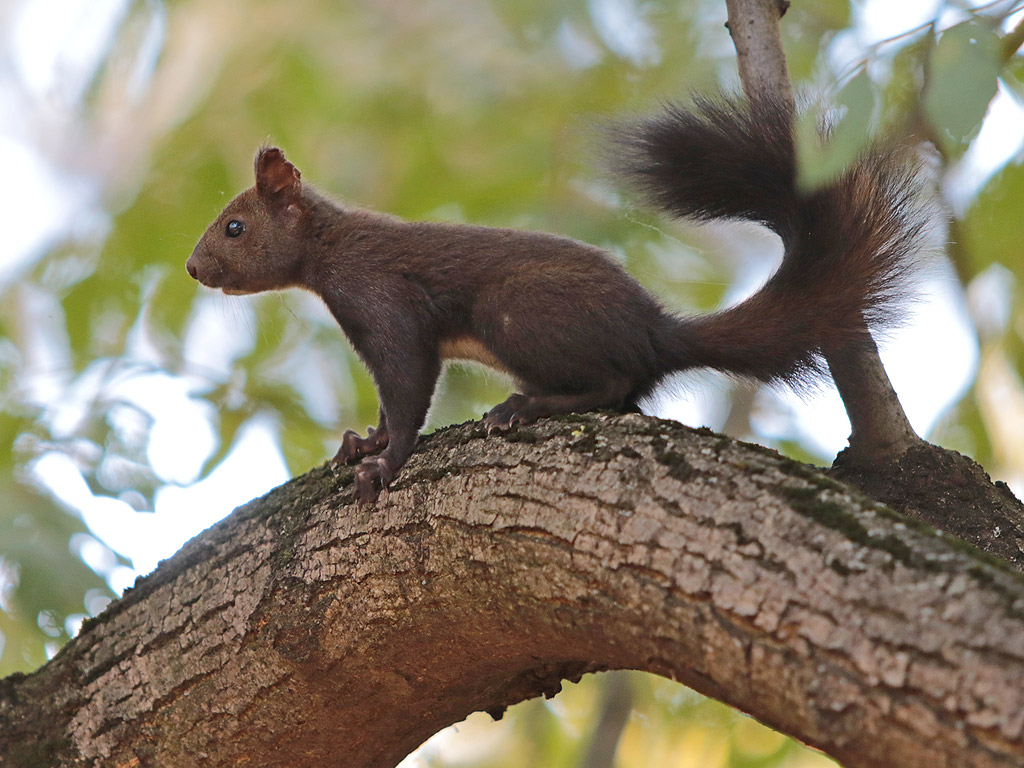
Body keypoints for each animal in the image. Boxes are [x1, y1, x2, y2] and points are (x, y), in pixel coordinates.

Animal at [188, 96, 933, 501]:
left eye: (234, 226)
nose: (194, 268)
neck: (330, 250)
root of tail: (655, 330)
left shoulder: (385, 301)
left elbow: (407, 389)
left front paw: (385, 461)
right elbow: (385, 398)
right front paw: (361, 442)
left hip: (519, 312)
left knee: (613, 384)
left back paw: (527, 407)